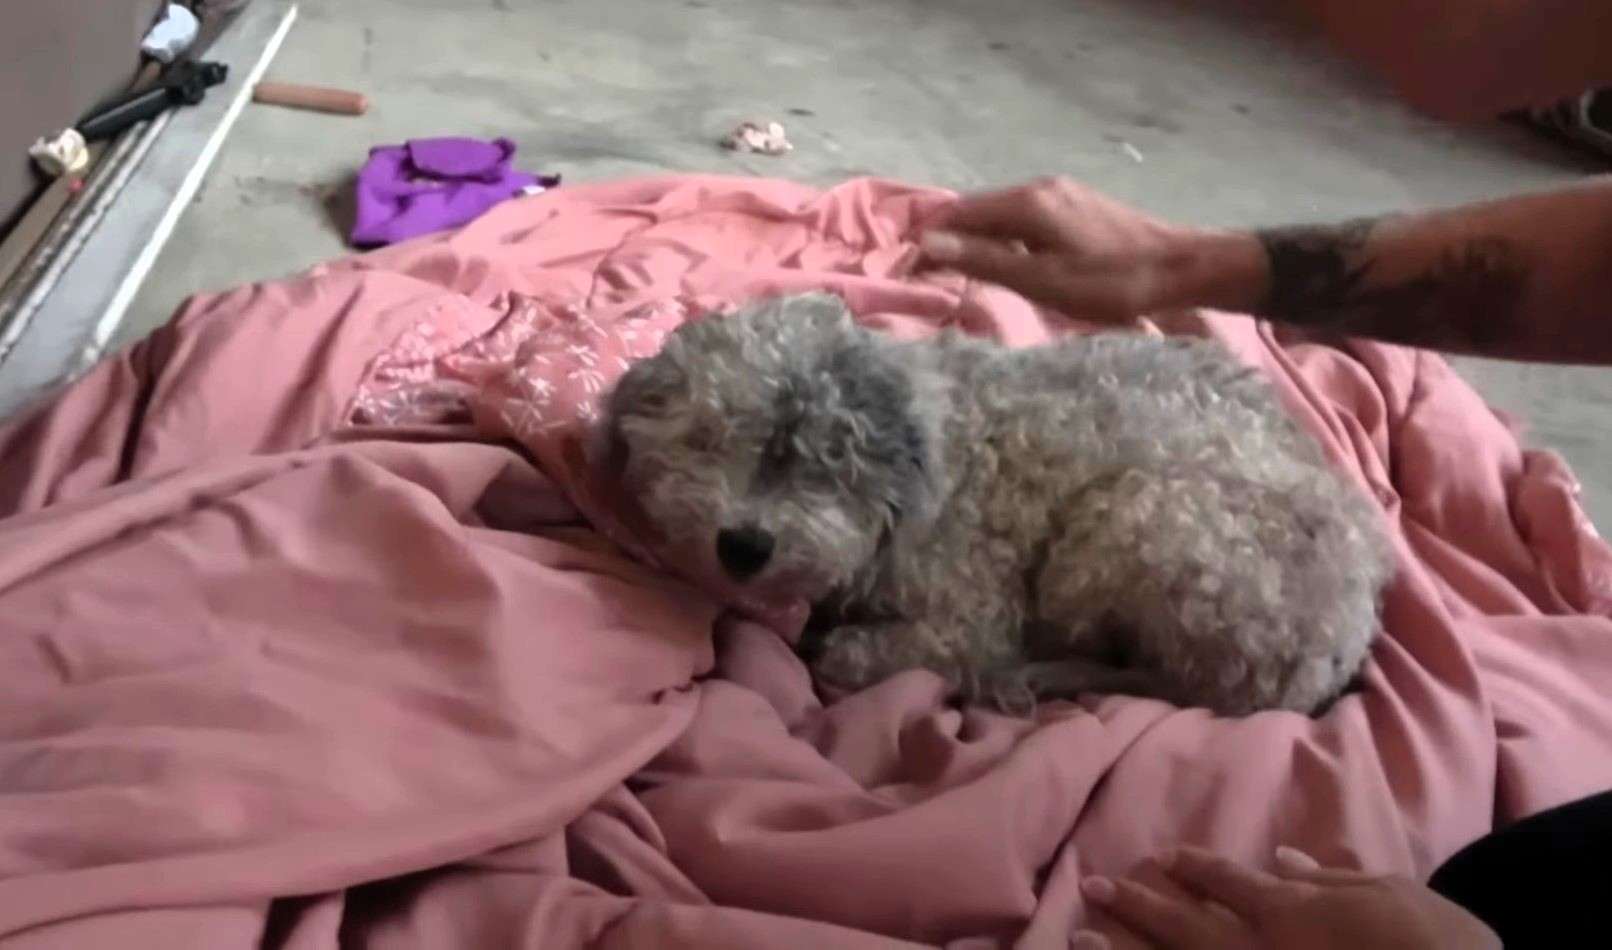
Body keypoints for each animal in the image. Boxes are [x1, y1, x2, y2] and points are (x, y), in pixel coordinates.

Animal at [599, 291, 1392, 716]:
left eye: (830, 472)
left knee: (1164, 682)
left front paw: (854, 647)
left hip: (1134, 520)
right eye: (705, 438)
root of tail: (1347, 637)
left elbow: (925, 647)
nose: (743, 545)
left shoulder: (973, 612)